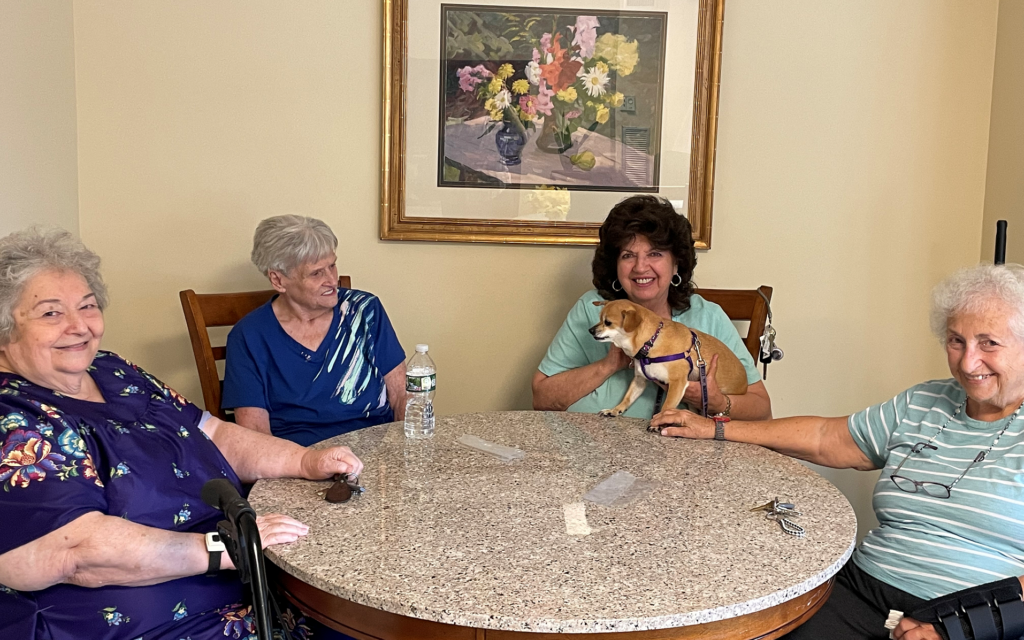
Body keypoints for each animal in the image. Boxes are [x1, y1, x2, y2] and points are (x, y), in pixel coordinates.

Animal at [589, 301, 749, 419]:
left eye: (607, 322)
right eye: (599, 318)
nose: (590, 330)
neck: (650, 342)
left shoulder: (677, 383)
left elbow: (666, 406)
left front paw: (658, 422)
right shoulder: (640, 380)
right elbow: (627, 398)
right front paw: (614, 410)